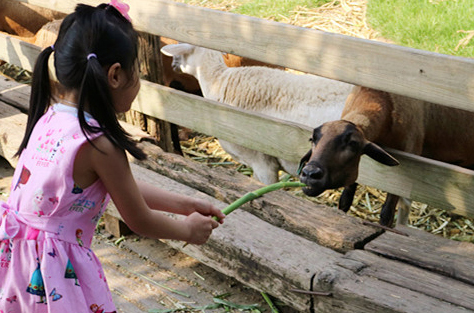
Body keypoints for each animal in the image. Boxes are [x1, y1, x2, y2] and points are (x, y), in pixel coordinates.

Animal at [300, 86, 474, 224]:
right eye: (312, 139)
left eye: (353, 144)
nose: (309, 174)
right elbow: (345, 200)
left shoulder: (407, 165)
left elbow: (387, 214)